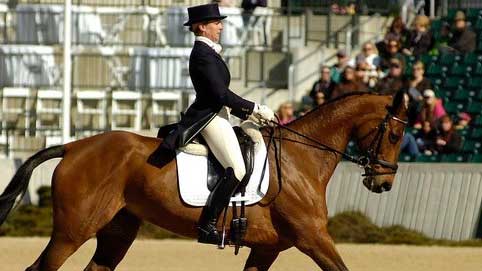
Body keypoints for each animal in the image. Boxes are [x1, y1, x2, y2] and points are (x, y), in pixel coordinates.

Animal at [0, 92, 406, 271]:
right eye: (395, 135)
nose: (383, 184)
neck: (301, 158)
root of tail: (73, 146)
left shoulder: (268, 248)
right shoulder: (313, 237)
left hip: (117, 231)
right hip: (73, 230)